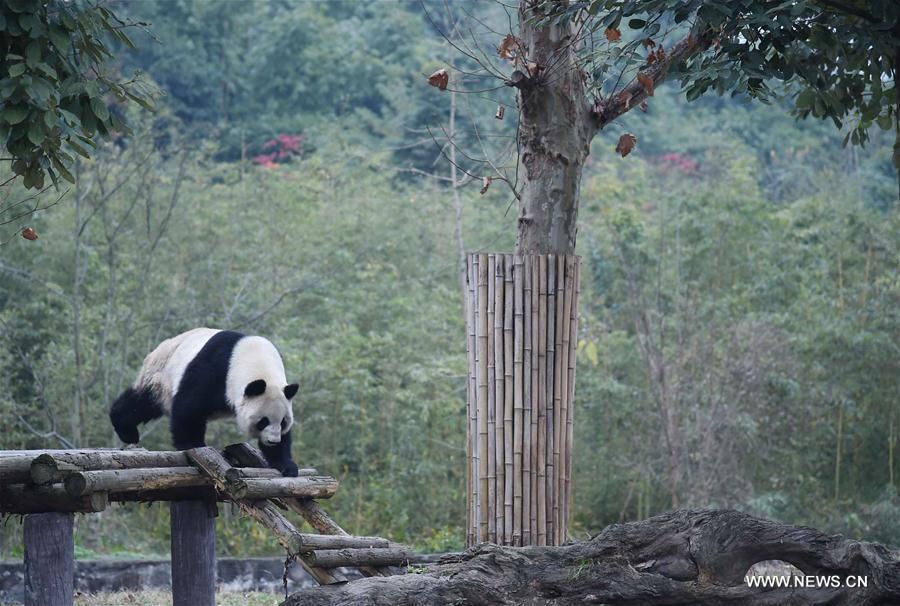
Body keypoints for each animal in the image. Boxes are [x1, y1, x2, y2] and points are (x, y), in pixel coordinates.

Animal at [109, 327, 300, 476]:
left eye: (283, 422)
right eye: (263, 421)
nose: (273, 440)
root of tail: (159, 348)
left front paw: (286, 465)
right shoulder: (216, 370)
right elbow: (189, 408)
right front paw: (193, 445)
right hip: (160, 376)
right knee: (142, 403)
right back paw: (126, 429)